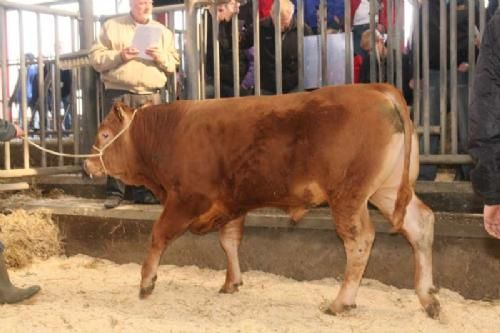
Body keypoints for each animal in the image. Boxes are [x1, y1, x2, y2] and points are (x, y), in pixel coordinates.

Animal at [84, 82, 440, 316]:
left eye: (104, 134)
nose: (87, 164)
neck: (169, 132)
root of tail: (376, 89)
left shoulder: (185, 198)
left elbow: (158, 235)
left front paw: (146, 282)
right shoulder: (233, 202)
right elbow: (229, 241)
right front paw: (232, 282)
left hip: (349, 195)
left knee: (360, 240)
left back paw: (341, 301)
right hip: (387, 189)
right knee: (420, 225)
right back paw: (428, 299)